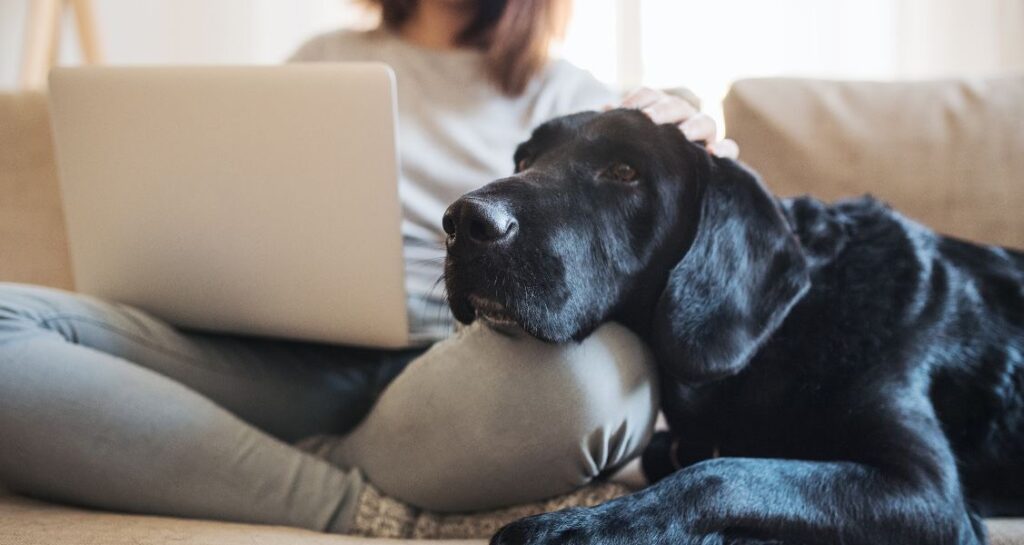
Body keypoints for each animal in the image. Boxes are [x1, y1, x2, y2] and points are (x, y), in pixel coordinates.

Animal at [442, 107, 1024, 545]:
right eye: (524, 157)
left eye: (625, 172)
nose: (464, 222)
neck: (786, 332)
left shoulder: (928, 493)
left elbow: (725, 474)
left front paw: (577, 529)